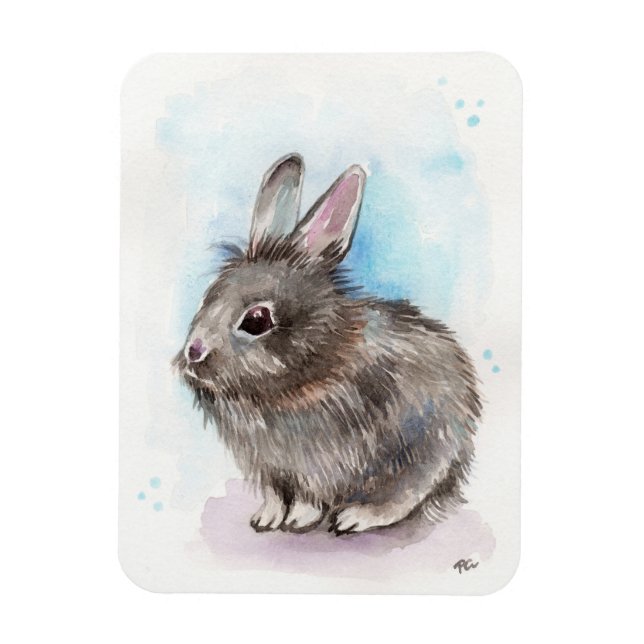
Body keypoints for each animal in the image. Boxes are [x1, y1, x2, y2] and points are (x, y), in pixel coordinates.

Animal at [173, 153, 482, 535]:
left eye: (257, 320)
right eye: (209, 296)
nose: (194, 353)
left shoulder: (323, 462)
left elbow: (311, 497)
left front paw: (298, 519)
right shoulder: (268, 468)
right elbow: (274, 493)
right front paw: (267, 517)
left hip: (426, 450)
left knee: (408, 493)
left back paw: (357, 517)